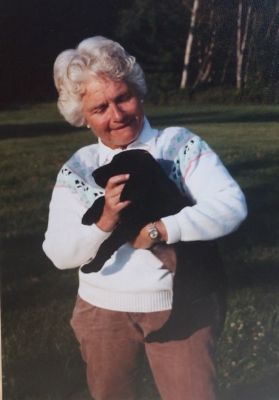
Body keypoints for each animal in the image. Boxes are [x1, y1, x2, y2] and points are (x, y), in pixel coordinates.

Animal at [82, 148, 224, 342]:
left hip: (184, 280)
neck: (150, 185)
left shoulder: (132, 221)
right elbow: (103, 200)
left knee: (181, 315)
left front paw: (93, 266)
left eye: (116, 164)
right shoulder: (124, 205)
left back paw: (159, 336)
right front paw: (88, 215)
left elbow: (107, 243)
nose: (93, 174)